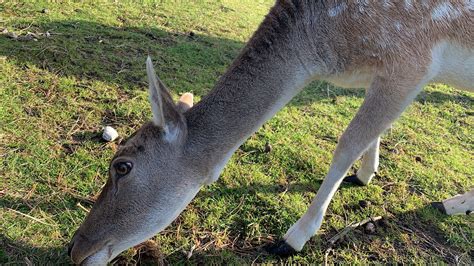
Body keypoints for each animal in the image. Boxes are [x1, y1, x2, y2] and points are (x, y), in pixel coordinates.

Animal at [68, 0, 472, 264]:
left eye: (122, 166)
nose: (75, 249)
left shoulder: (411, 61)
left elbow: (347, 142)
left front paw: (291, 239)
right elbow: (372, 133)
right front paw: (365, 175)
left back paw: (454, 203)